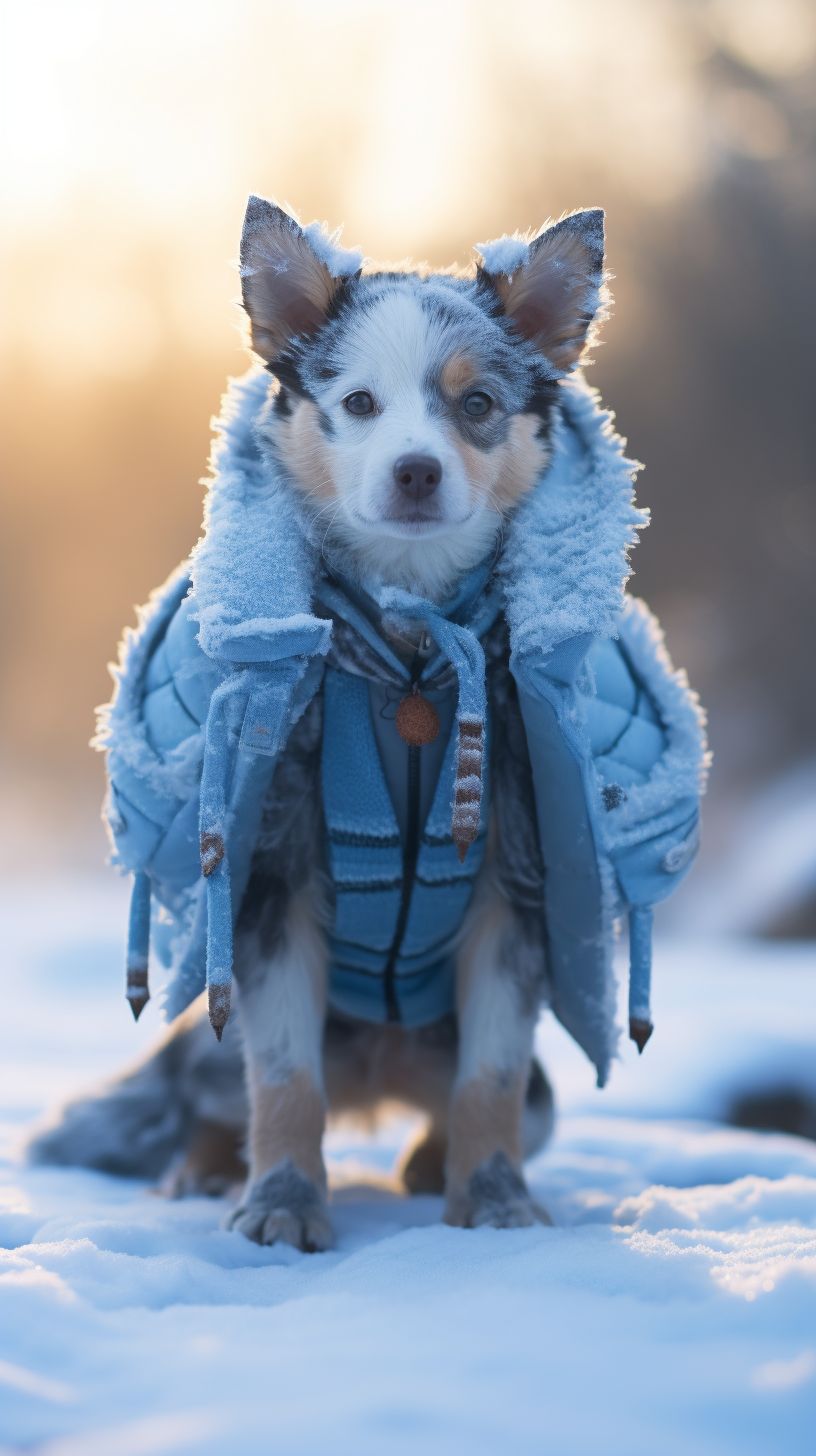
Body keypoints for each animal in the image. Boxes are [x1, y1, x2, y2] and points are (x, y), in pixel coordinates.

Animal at [30, 202, 612, 1252]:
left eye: (476, 404)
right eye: (359, 402)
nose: (416, 471)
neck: (410, 648)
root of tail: (377, 1079)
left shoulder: (514, 886)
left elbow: (493, 1081)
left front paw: (494, 1202)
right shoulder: (269, 880)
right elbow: (283, 1080)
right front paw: (282, 1205)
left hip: (513, 1080)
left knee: (497, 1101)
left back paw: (426, 1166)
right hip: (211, 1043)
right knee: (213, 1098)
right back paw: (203, 1171)